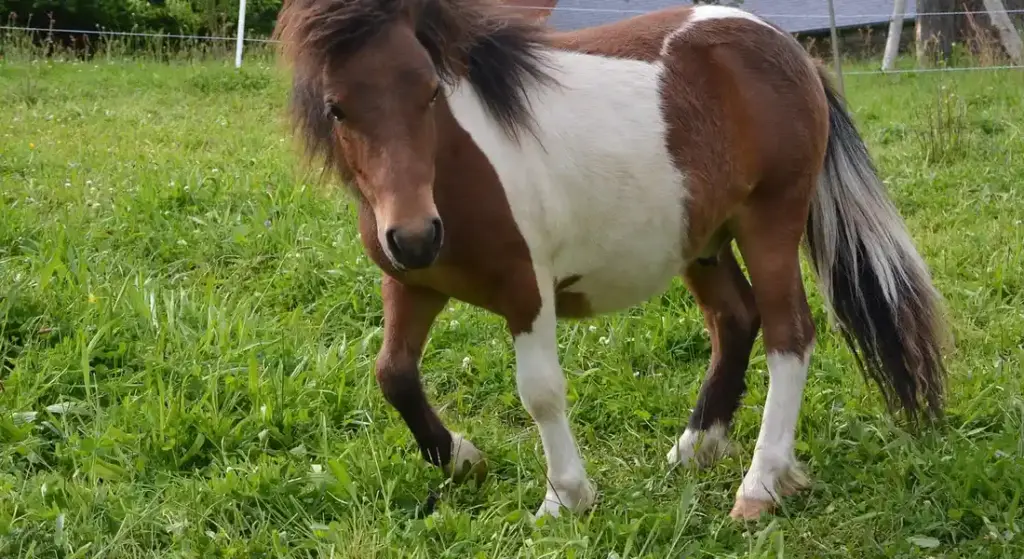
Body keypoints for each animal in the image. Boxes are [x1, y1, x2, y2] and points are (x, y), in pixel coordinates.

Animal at [272, 0, 950, 520]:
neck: (455, 167)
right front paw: (463, 459)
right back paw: (695, 447)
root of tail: (784, 45)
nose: (415, 237)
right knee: (736, 320)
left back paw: (759, 486)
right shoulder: (411, 285)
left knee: (790, 334)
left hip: (770, 224)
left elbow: (540, 393)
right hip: (703, 239)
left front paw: (565, 499)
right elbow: (393, 375)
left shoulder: (526, 290)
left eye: (431, 91)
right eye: (336, 106)